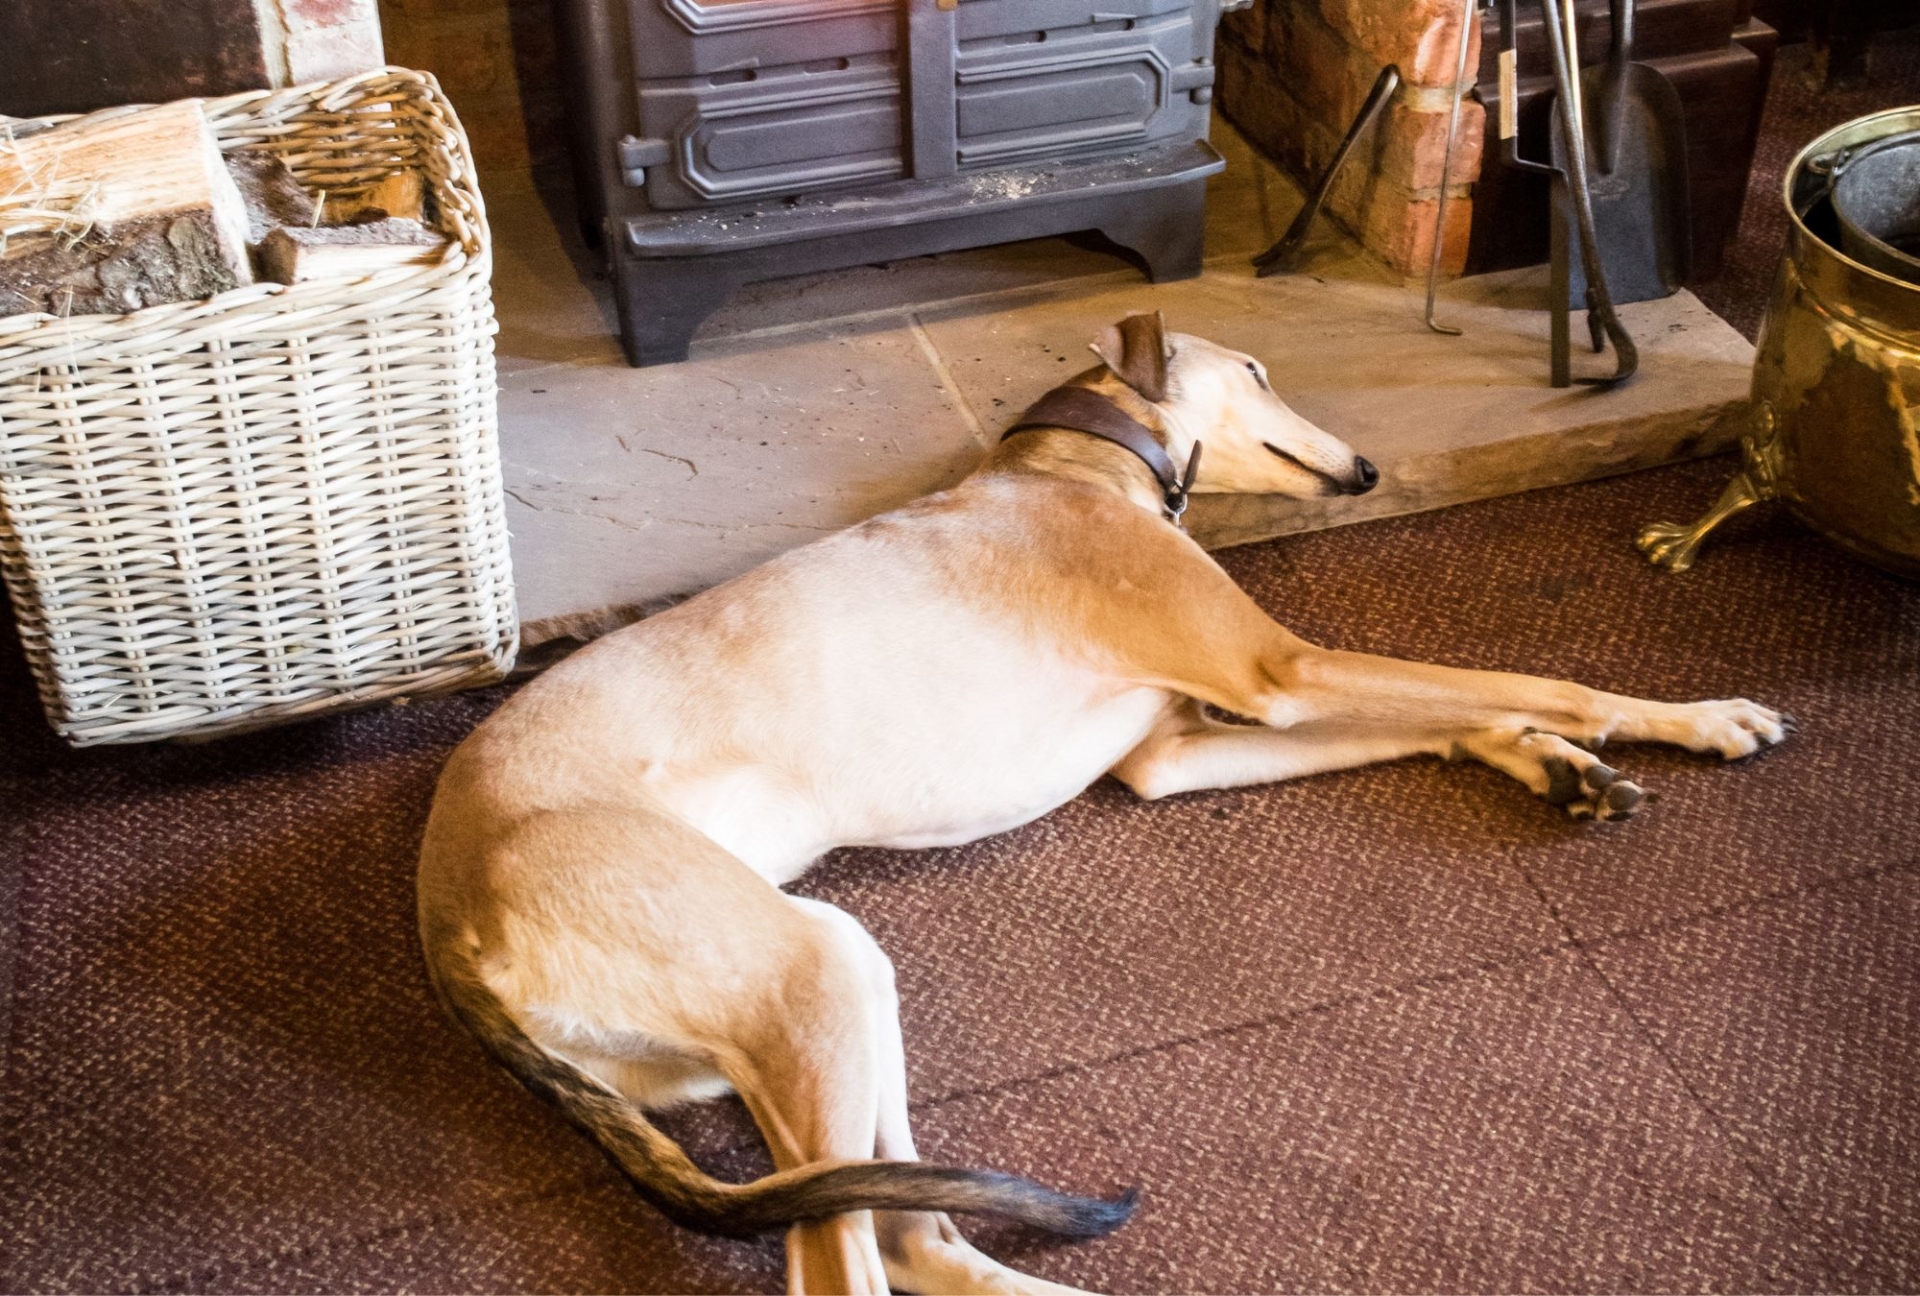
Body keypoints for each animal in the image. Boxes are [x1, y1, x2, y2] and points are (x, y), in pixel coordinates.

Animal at [416, 314, 1781, 1296]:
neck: (1072, 468)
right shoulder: (1278, 670)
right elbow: (1524, 678)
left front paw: (1556, 764)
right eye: (1261, 371)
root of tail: (445, 922)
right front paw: (1689, 715)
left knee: (914, 1231)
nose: (1370, 468)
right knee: (851, 1261)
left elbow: (1447, 714)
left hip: (828, 989)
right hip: (801, 971)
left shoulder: (1177, 747)